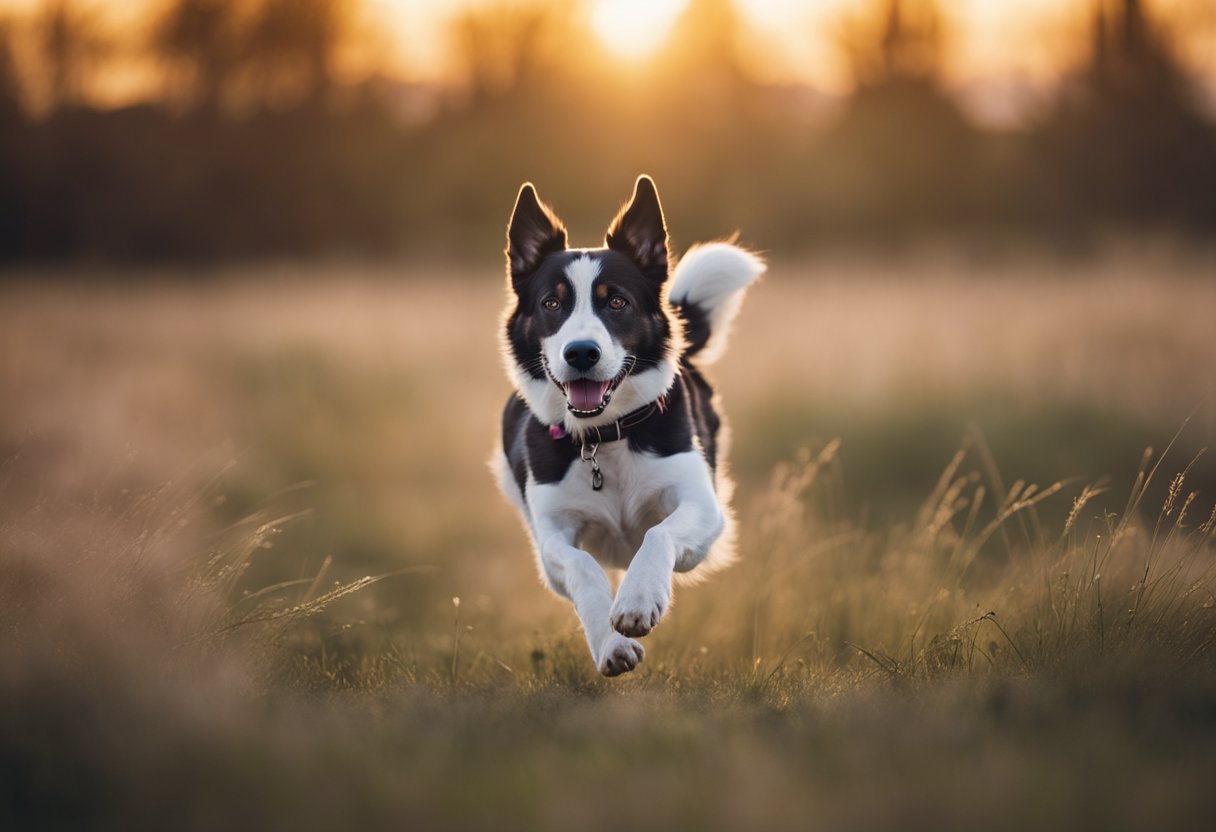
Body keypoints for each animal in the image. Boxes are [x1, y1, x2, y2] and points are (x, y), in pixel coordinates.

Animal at [491, 175, 758, 676]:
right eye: (551, 303)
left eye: (616, 301)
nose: (581, 353)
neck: (604, 438)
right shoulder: (551, 537)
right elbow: (581, 567)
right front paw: (611, 643)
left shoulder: (703, 508)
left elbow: (658, 533)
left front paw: (637, 600)